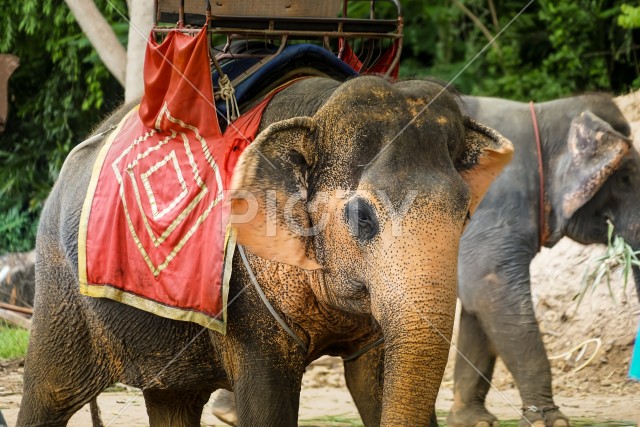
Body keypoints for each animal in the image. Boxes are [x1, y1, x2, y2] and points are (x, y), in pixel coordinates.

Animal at [16, 77, 516, 427]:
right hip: (60, 288)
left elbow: (377, 380)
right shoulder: (246, 291)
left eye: (465, 213)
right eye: (362, 217)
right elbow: (266, 398)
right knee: (49, 391)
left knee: (173, 399)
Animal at [448, 94, 636, 427]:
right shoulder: (494, 208)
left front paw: (473, 420)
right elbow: (490, 289)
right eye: (625, 178)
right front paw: (550, 421)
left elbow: (476, 302)